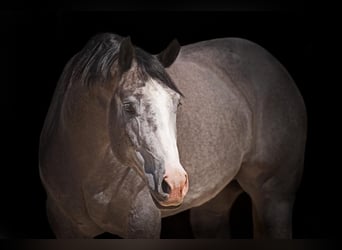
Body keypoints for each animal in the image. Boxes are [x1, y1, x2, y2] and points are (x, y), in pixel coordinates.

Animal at [38, 32, 306, 238]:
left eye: (176, 103)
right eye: (128, 107)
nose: (175, 184)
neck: (88, 176)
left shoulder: (142, 224)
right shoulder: (65, 226)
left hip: (275, 199)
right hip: (212, 207)